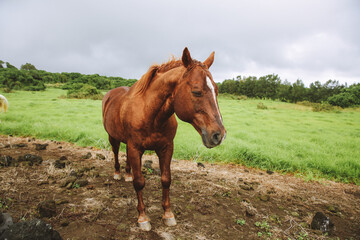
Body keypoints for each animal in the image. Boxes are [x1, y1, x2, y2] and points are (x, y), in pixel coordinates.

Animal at [101, 47, 225, 231]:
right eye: (196, 91)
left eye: (216, 91)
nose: (219, 135)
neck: (150, 114)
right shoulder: (135, 148)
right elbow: (139, 182)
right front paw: (143, 218)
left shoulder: (166, 148)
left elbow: (166, 179)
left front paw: (168, 214)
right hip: (113, 137)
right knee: (116, 152)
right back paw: (117, 173)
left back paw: (127, 173)